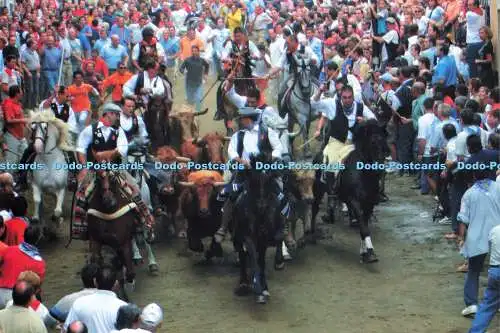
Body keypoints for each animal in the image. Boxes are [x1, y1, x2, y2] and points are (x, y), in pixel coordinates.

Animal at [310, 118, 388, 262]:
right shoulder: (355, 201)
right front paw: (370, 252)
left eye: (384, 142)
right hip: (318, 190)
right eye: (372, 142)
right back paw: (312, 235)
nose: (380, 169)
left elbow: (364, 225)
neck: (363, 174)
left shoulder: (369, 204)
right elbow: (363, 226)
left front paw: (364, 252)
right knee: (314, 209)